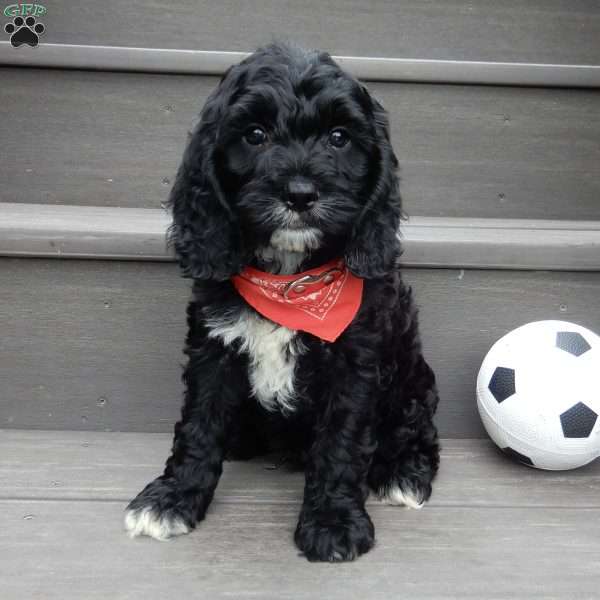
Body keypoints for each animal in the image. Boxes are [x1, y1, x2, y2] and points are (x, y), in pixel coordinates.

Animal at [123, 42, 440, 564]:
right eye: (254, 135)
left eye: (339, 137)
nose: (300, 193)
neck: (292, 282)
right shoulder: (214, 346)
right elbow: (198, 425)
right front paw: (172, 498)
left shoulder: (355, 361)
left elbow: (341, 442)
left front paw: (333, 522)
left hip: (410, 374)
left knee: (416, 425)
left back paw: (403, 472)